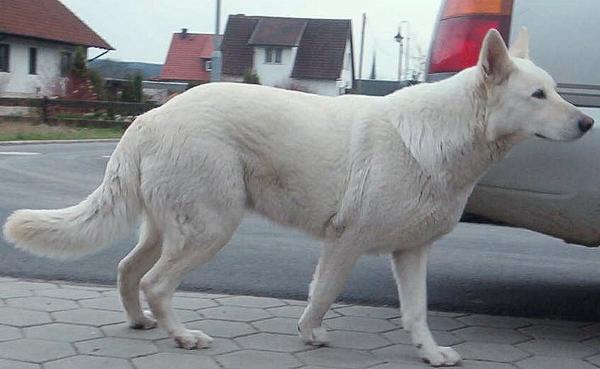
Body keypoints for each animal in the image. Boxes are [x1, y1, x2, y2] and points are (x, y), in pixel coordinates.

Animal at [2, 29, 592, 366]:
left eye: (556, 91)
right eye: (538, 95)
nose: (588, 124)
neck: (444, 138)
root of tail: (150, 116)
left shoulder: (412, 253)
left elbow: (416, 311)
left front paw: (429, 353)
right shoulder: (345, 242)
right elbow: (323, 293)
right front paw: (309, 334)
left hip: (170, 227)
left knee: (128, 271)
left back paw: (140, 324)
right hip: (210, 228)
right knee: (155, 283)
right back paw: (183, 337)